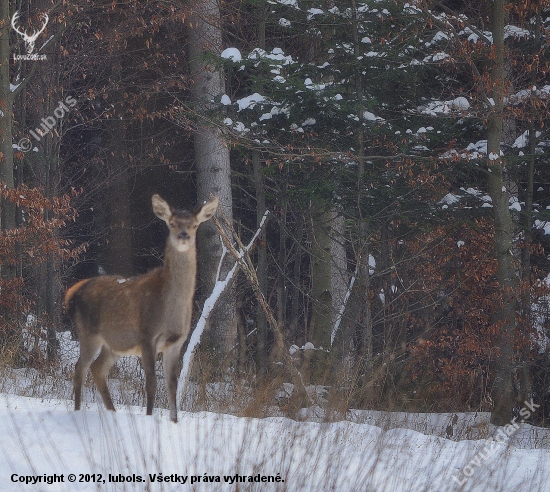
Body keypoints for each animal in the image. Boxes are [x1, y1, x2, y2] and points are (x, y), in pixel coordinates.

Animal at [66, 194, 219, 420]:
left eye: (194, 225)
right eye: (172, 223)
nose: (183, 236)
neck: (170, 309)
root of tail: (72, 292)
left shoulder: (176, 342)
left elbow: (172, 386)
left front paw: (174, 421)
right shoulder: (148, 336)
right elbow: (152, 384)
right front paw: (149, 416)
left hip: (114, 344)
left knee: (97, 368)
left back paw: (113, 411)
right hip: (88, 333)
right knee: (79, 368)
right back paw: (77, 411)